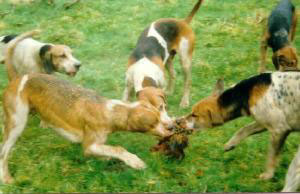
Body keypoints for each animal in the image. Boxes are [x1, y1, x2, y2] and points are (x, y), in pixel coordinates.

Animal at [0, 29, 172, 183]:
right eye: (154, 123)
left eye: (161, 110)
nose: (172, 127)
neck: (110, 110)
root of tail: (18, 78)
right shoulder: (89, 146)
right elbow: (118, 149)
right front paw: (134, 161)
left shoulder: (98, 146)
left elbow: (109, 152)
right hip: (17, 123)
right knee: (3, 152)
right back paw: (7, 178)